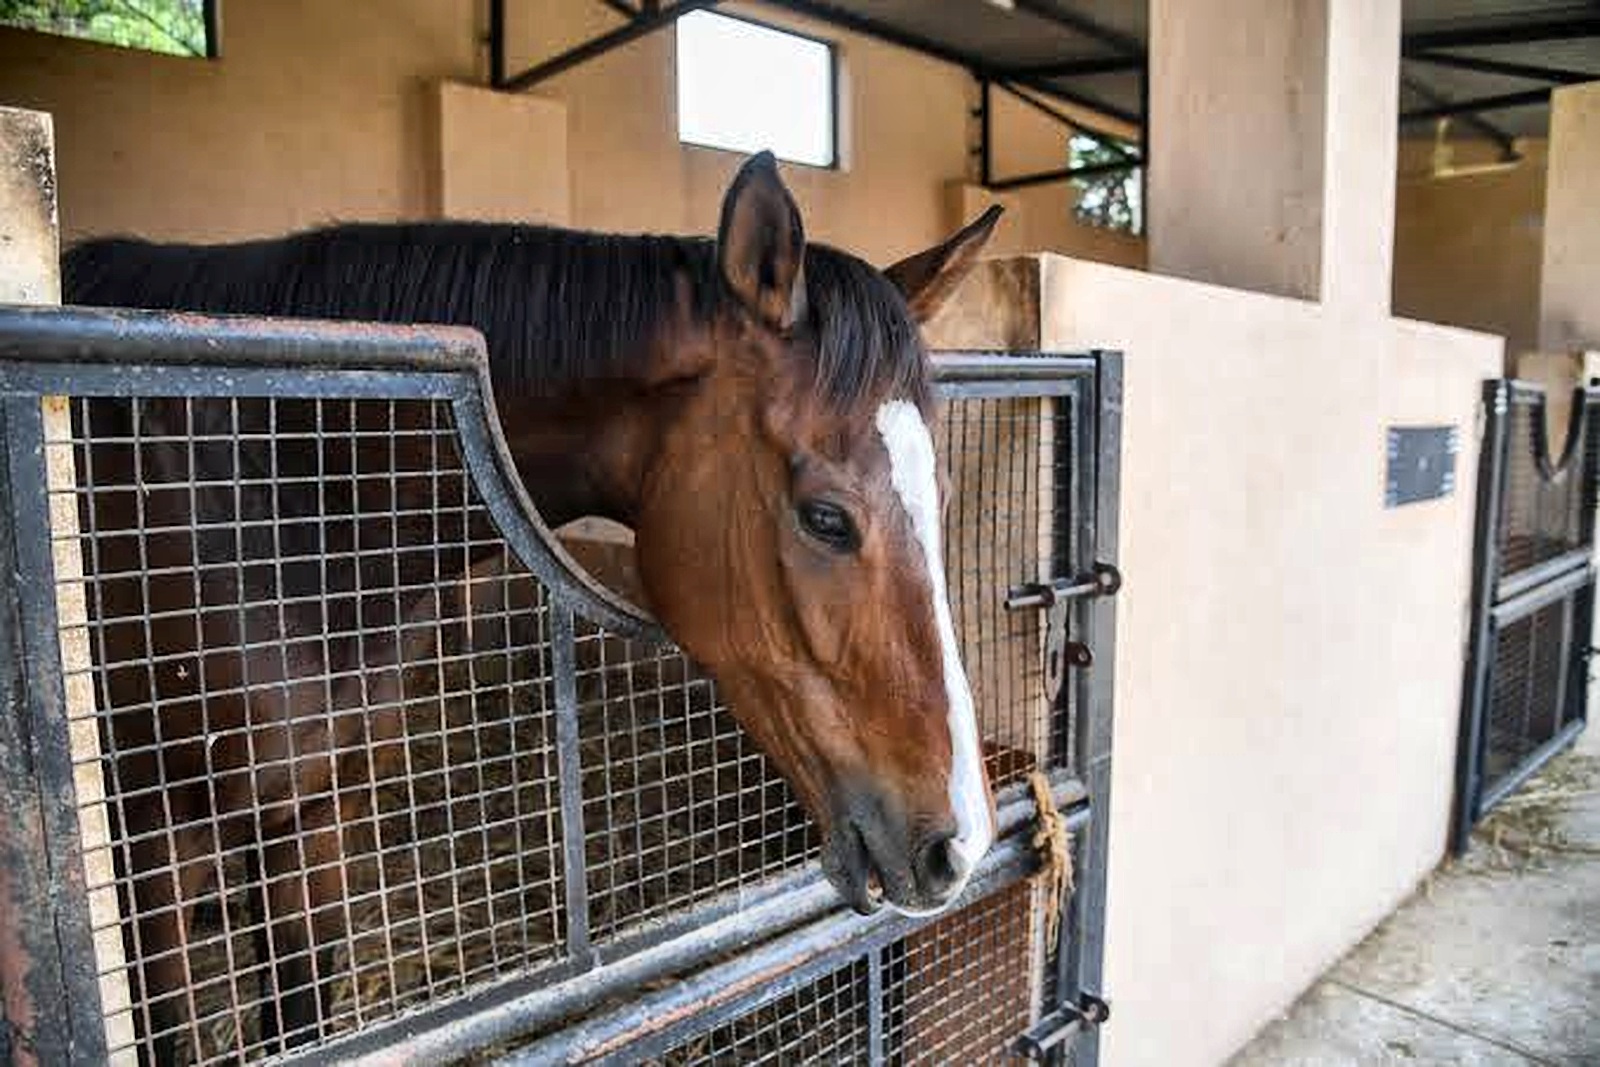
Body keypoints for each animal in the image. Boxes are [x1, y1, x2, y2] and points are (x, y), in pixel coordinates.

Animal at [63, 151, 1002, 1058]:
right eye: (825, 517)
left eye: (945, 497)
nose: (960, 844)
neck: (272, 492)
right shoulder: (149, 848)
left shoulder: (317, 821)